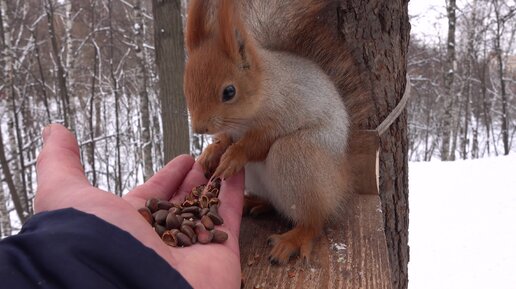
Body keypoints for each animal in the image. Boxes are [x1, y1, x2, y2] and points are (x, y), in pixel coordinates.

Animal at [185, 0, 370, 264]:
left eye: (229, 92)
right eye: (186, 84)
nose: (200, 128)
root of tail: (344, 182)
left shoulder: (286, 112)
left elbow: (260, 141)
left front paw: (234, 155)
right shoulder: (232, 129)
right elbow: (226, 139)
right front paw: (211, 152)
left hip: (297, 155)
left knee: (314, 220)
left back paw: (294, 239)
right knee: (274, 202)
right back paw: (255, 202)